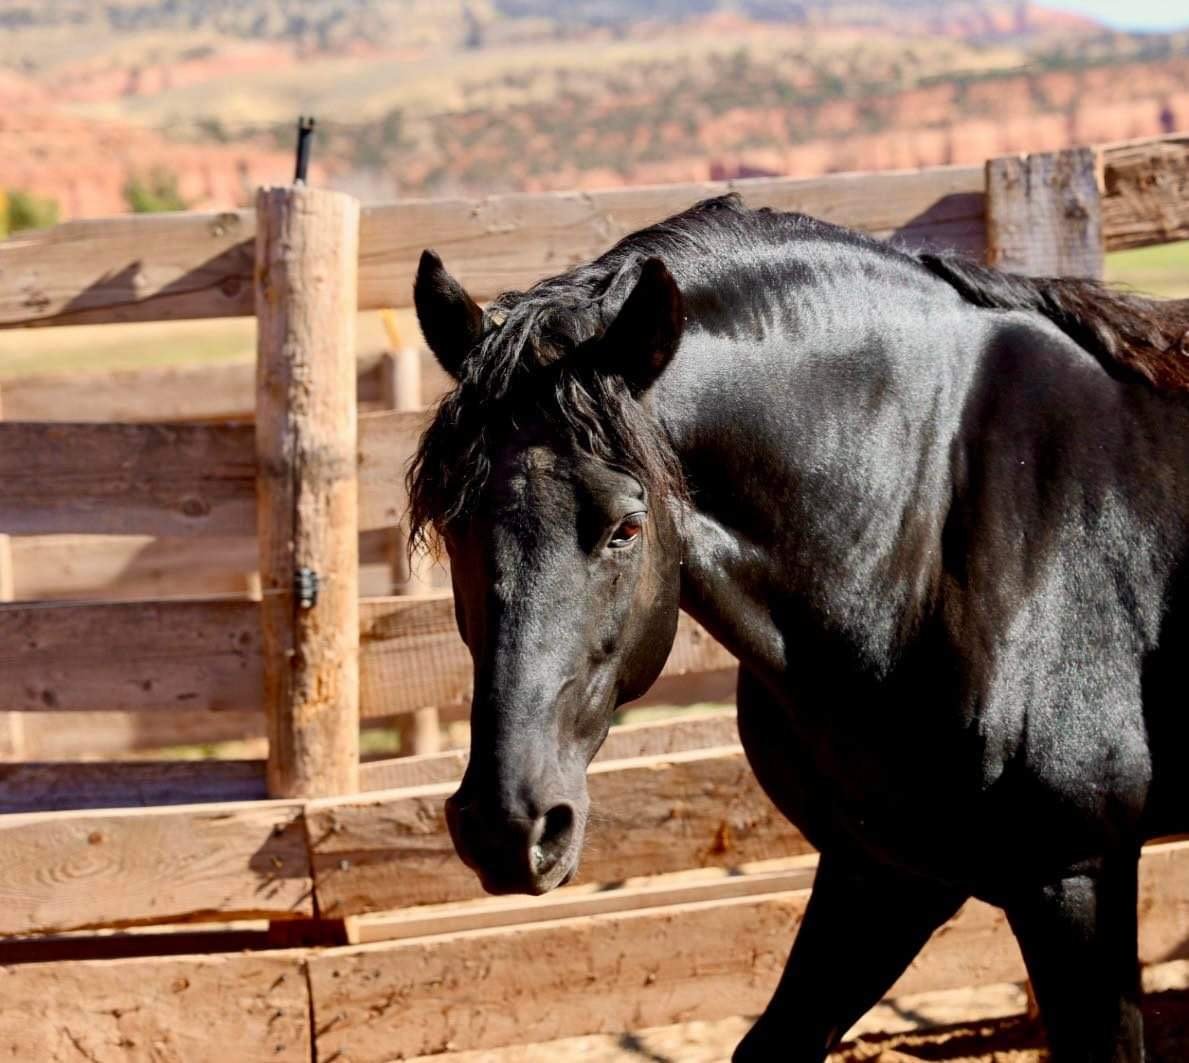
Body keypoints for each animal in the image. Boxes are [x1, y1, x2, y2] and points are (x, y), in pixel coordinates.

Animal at [408, 194, 1189, 1062]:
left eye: (625, 527)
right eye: (452, 522)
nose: (506, 826)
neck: (931, 531)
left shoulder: (1073, 874)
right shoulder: (884, 872)